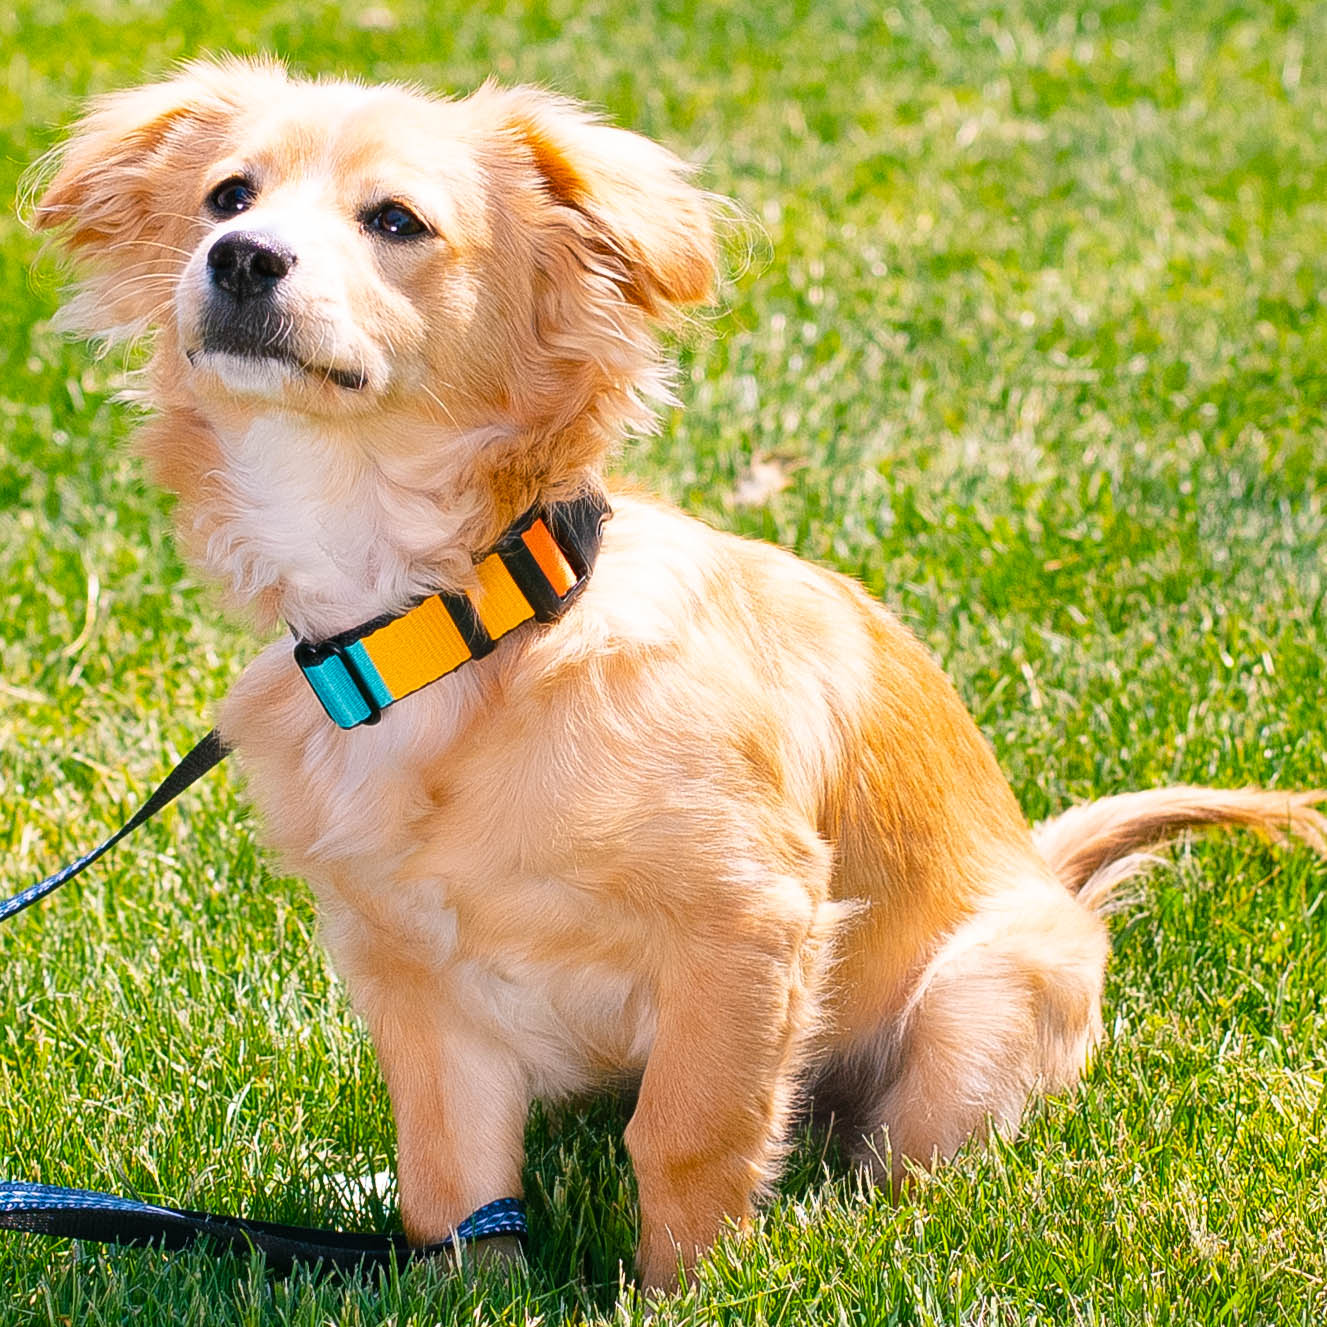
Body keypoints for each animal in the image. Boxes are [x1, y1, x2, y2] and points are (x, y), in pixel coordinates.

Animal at [31, 57, 1327, 1289]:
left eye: (395, 220)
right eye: (227, 196)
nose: (241, 257)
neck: (451, 624)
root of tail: (1048, 874)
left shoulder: (747, 924)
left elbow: (690, 1135)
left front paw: (690, 1284)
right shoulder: (415, 973)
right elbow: (453, 1179)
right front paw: (469, 1287)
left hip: (979, 1007)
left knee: (898, 1161)